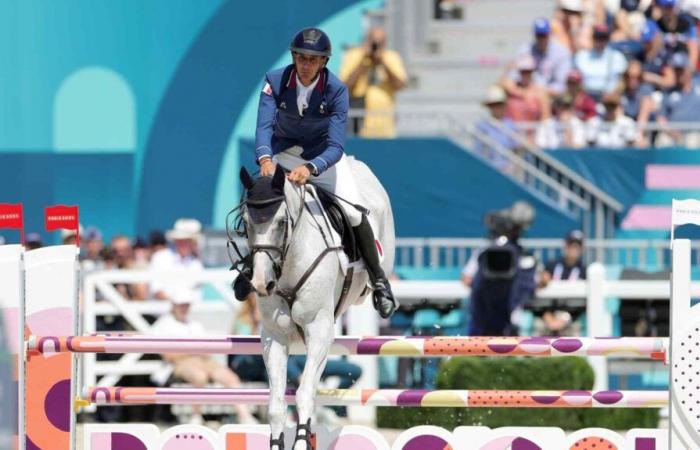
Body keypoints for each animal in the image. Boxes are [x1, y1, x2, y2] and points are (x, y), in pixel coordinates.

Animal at [235, 163, 394, 450]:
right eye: (246, 223)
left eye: (282, 222)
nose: (263, 283)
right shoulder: (274, 336)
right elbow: (276, 404)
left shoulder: (319, 329)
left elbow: (305, 392)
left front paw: (301, 442)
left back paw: (381, 293)